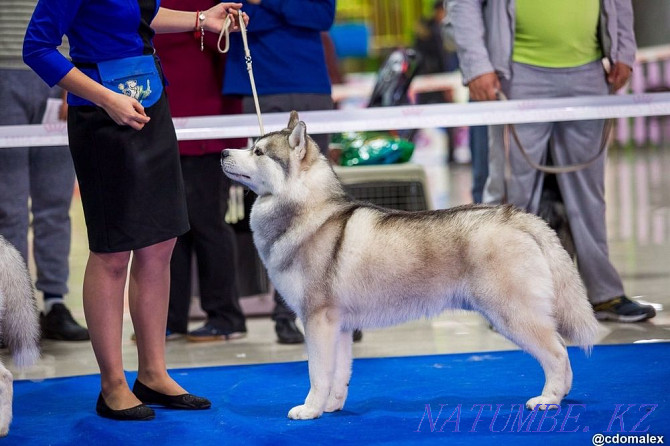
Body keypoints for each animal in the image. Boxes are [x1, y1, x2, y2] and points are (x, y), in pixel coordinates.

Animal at [223, 113, 600, 420]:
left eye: (259, 152)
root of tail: (518, 216)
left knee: (558, 352)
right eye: (250, 145)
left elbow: (317, 372)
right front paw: (332, 406)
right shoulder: (339, 326)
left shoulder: (316, 320)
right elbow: (338, 373)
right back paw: (561, 395)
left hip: (512, 313)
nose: (224, 152)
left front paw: (310, 409)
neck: (308, 210)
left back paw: (549, 399)